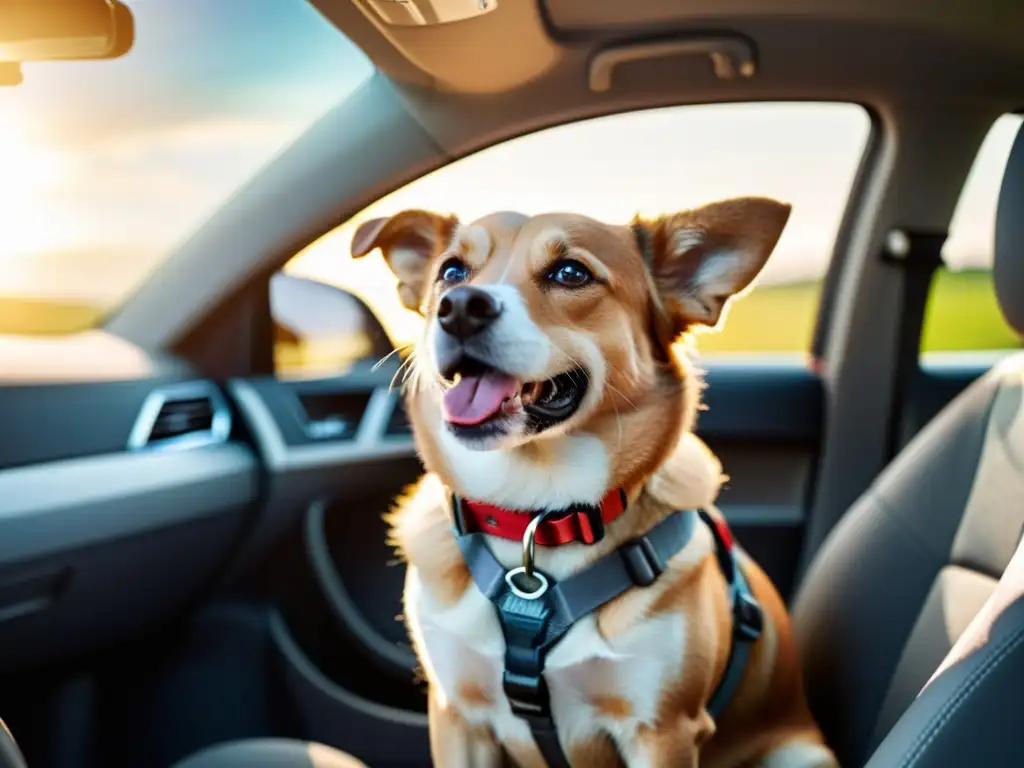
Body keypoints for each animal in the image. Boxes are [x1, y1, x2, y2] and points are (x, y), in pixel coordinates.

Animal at [348, 199, 835, 768]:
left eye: (570, 273)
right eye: (451, 272)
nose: (460, 306)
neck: (539, 518)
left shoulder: (662, 731)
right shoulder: (457, 715)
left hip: (801, 754)